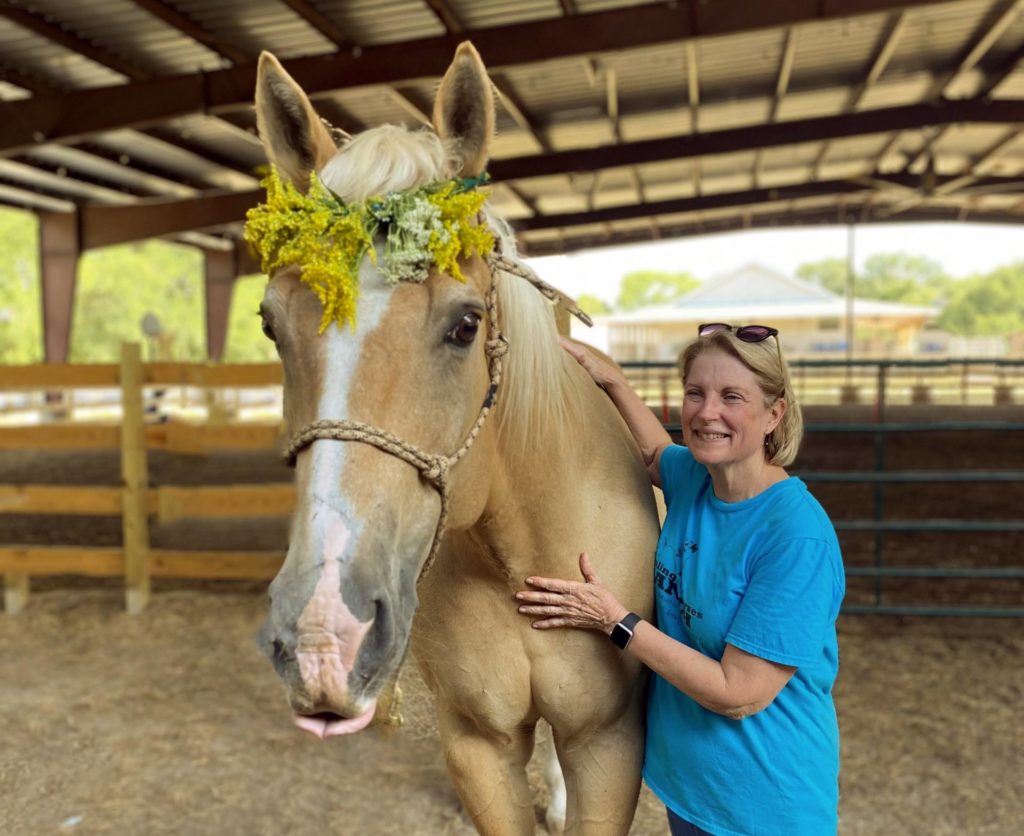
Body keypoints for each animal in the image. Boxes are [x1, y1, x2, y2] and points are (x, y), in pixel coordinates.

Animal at [251, 40, 659, 836]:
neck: (519, 556)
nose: (323, 633)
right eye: (269, 323)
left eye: (466, 324)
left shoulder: (610, 741)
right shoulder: (477, 747)